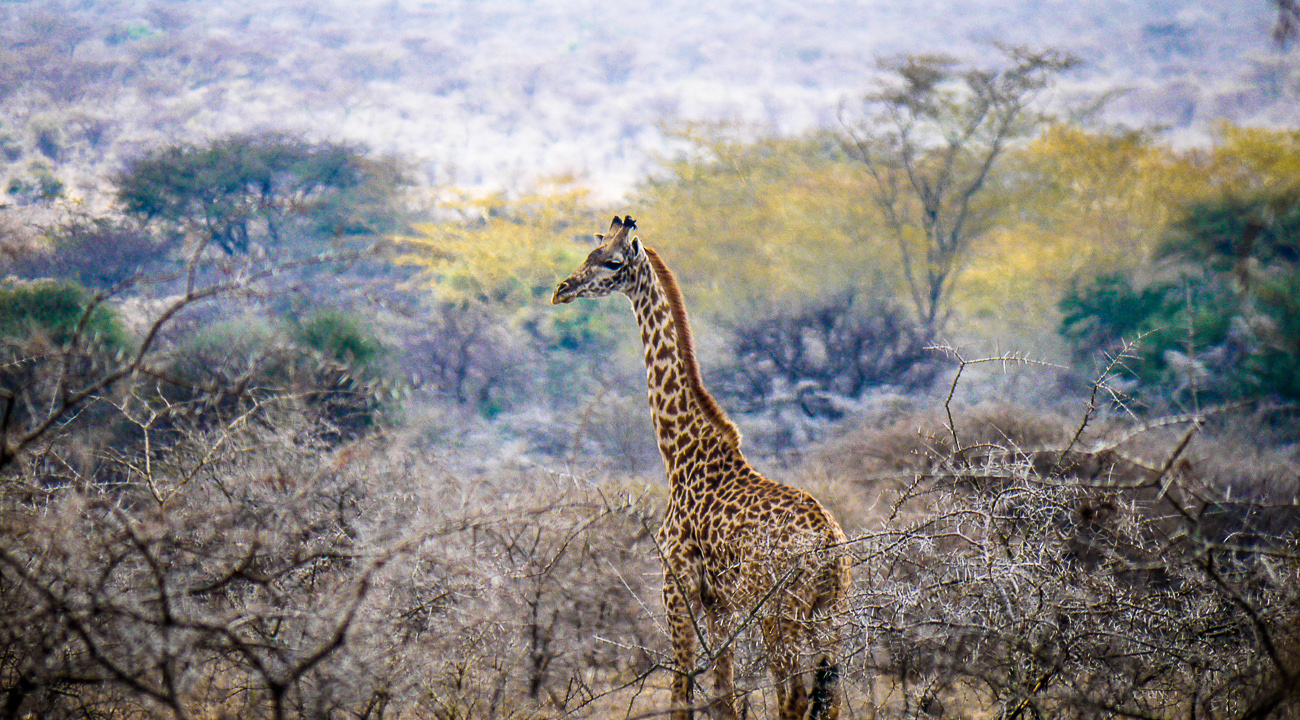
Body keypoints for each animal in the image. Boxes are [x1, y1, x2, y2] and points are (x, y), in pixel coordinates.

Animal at [551, 214, 847, 717]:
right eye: (590, 253)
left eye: (611, 262)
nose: (562, 289)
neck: (682, 455)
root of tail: (829, 544)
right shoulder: (719, 603)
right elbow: (724, 696)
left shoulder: (678, 585)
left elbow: (681, 696)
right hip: (833, 610)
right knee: (828, 697)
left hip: (780, 611)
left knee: (794, 696)